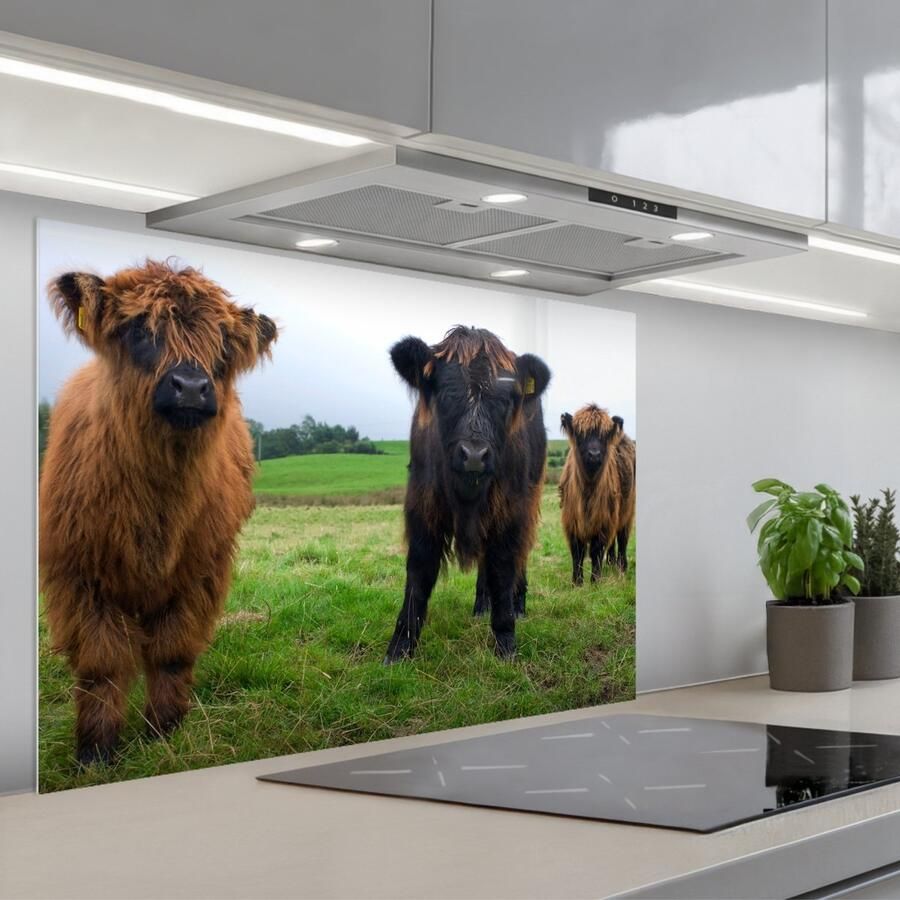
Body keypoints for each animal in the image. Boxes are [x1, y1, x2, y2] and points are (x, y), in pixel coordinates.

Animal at [39, 261, 277, 765]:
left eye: (223, 342)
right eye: (138, 330)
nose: (191, 387)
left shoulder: (199, 573)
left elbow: (172, 651)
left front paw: (164, 731)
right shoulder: (78, 576)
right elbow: (101, 663)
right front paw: (95, 750)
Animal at [384, 326, 551, 662]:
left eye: (505, 400)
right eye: (446, 393)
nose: (474, 455)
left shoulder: (511, 510)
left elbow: (503, 567)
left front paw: (505, 640)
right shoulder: (422, 506)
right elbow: (419, 572)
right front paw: (400, 647)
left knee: (520, 556)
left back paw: (518, 604)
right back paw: (480, 605)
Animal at [559, 405, 636, 585]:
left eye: (604, 435)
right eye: (581, 434)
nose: (594, 454)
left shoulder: (603, 521)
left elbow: (596, 550)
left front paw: (595, 581)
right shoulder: (572, 521)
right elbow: (578, 552)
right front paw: (577, 582)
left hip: (627, 511)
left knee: (622, 538)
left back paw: (622, 567)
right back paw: (611, 563)